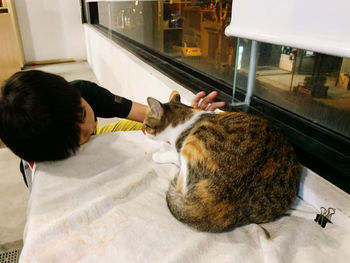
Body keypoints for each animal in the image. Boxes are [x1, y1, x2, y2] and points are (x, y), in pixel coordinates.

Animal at [142, 91, 300, 233]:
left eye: (146, 125)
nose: (142, 131)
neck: (185, 118)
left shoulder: (181, 150)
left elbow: (171, 154)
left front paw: (160, 152)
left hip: (196, 141)